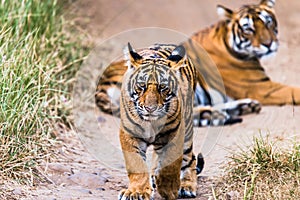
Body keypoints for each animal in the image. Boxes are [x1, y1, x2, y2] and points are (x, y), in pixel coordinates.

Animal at [118, 43, 199, 199]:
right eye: (141, 86)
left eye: (163, 87)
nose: (150, 108)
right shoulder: (129, 134)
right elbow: (136, 163)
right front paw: (137, 191)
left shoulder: (174, 134)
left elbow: (171, 164)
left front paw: (169, 189)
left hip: (187, 130)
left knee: (190, 158)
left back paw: (187, 186)